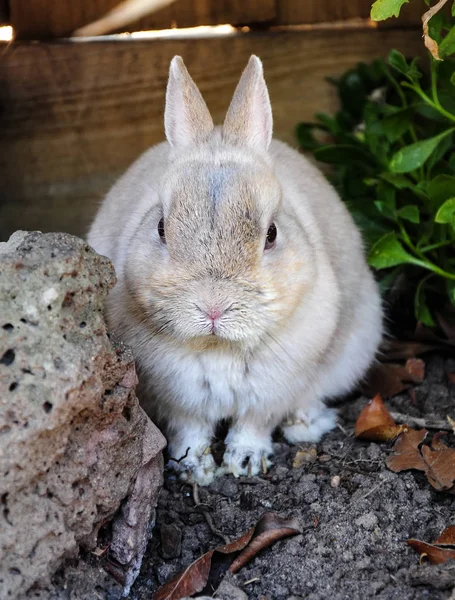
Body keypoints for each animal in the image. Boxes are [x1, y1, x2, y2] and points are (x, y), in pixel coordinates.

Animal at [87, 55, 382, 488]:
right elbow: (189, 431)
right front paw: (195, 470)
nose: (213, 309)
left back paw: (305, 424)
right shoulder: (175, 398)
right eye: (160, 227)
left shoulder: (271, 391)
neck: (219, 347)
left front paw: (244, 462)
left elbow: (253, 425)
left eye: (271, 233)